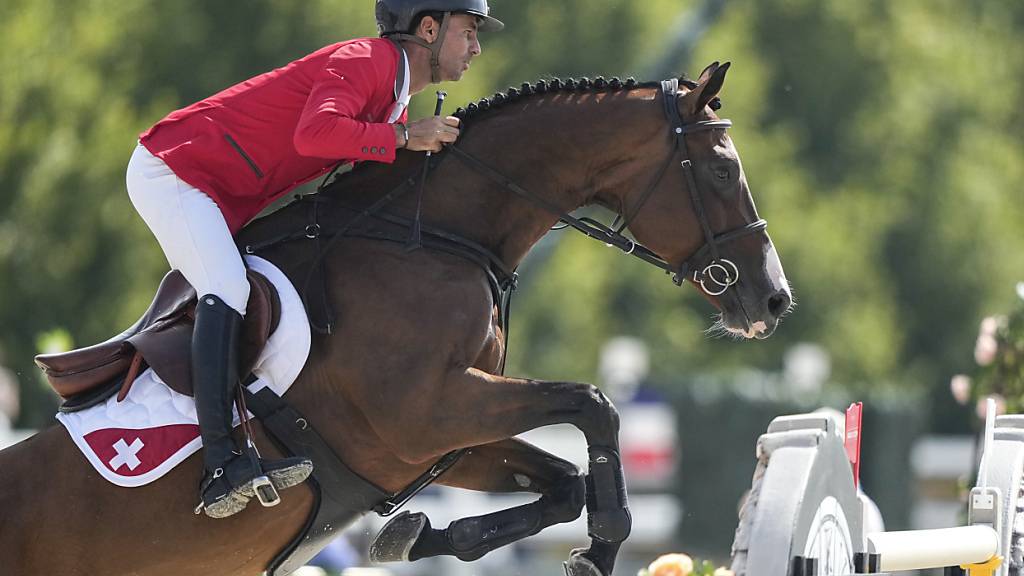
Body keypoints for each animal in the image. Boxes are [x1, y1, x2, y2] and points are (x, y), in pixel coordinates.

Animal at [0, 61, 790, 573]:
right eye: (722, 169)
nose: (773, 300)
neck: (436, 237)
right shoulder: (425, 412)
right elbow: (594, 405)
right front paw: (601, 547)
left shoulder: (441, 440)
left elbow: (561, 482)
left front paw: (407, 538)